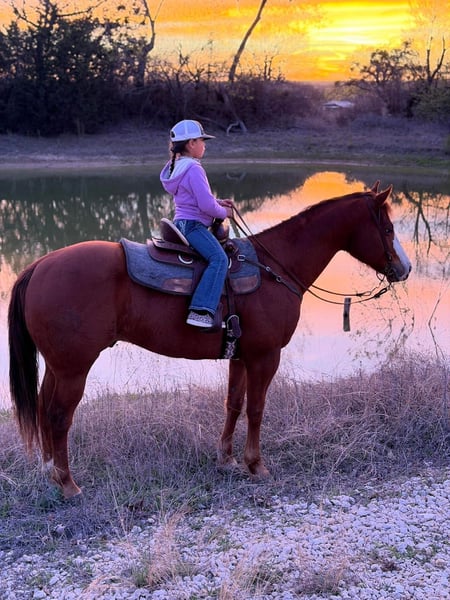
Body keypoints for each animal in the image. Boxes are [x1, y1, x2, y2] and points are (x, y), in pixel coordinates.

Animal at [8, 183, 411, 499]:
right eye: (388, 227)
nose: (404, 269)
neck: (275, 268)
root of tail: (39, 266)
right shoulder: (266, 357)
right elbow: (256, 408)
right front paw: (256, 465)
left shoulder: (241, 356)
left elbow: (233, 403)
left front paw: (226, 459)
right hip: (74, 369)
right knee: (59, 416)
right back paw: (68, 484)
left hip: (58, 367)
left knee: (44, 409)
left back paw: (50, 473)